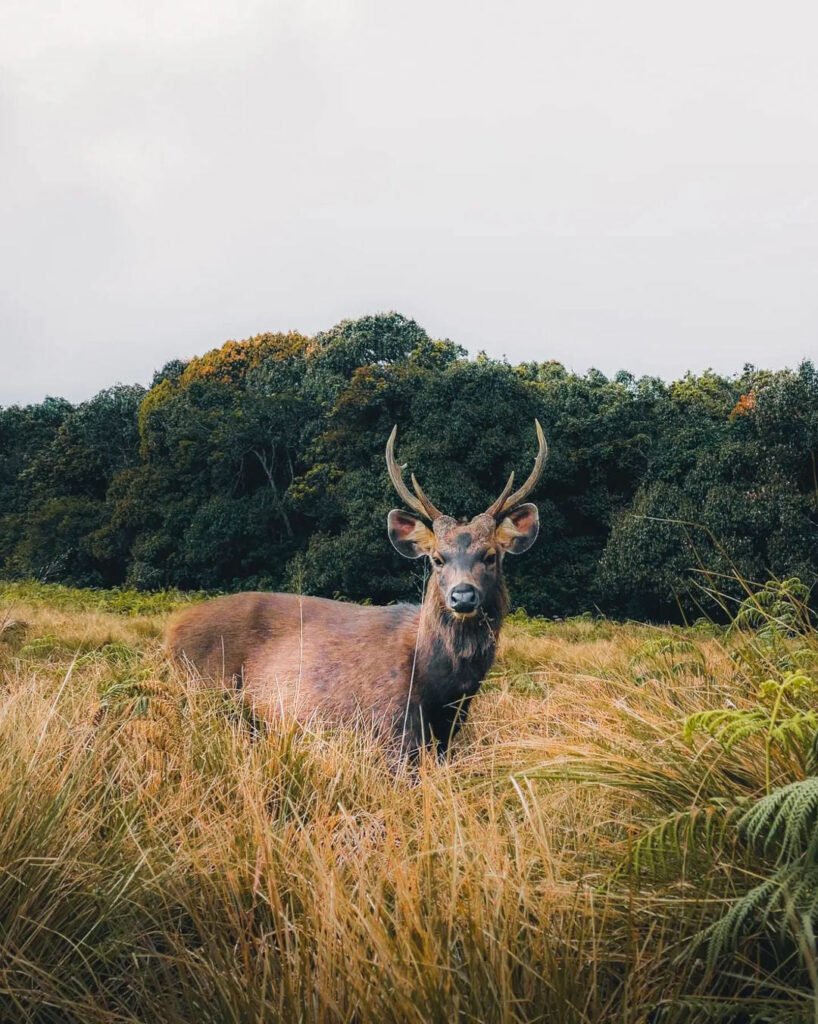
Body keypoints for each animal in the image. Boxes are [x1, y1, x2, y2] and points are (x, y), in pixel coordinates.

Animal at [166, 422, 547, 760]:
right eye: (437, 558)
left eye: (491, 556)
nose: (463, 596)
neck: (441, 685)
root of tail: (171, 632)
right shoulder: (388, 723)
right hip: (207, 687)